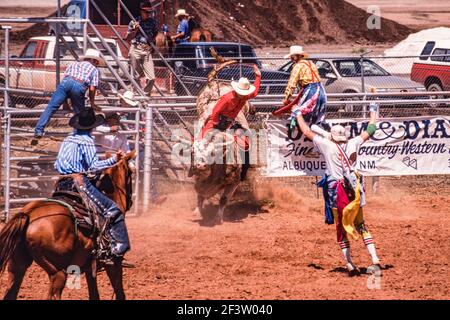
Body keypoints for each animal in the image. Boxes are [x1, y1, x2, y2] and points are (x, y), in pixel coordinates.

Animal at [0, 152, 135, 300]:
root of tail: (28, 214)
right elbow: (120, 293)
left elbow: (94, 294)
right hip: (58, 271)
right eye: (130, 173)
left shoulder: (90, 267)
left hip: (17, 266)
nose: (130, 202)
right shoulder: (114, 263)